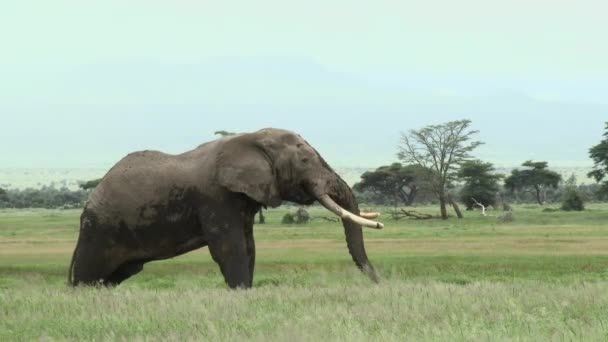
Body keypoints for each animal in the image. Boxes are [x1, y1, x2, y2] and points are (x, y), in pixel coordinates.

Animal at [69, 128, 382, 288]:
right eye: (305, 162)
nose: (378, 281)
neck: (251, 137)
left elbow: (249, 246)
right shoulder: (215, 197)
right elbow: (230, 247)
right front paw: (241, 291)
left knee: (115, 276)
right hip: (101, 229)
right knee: (88, 273)